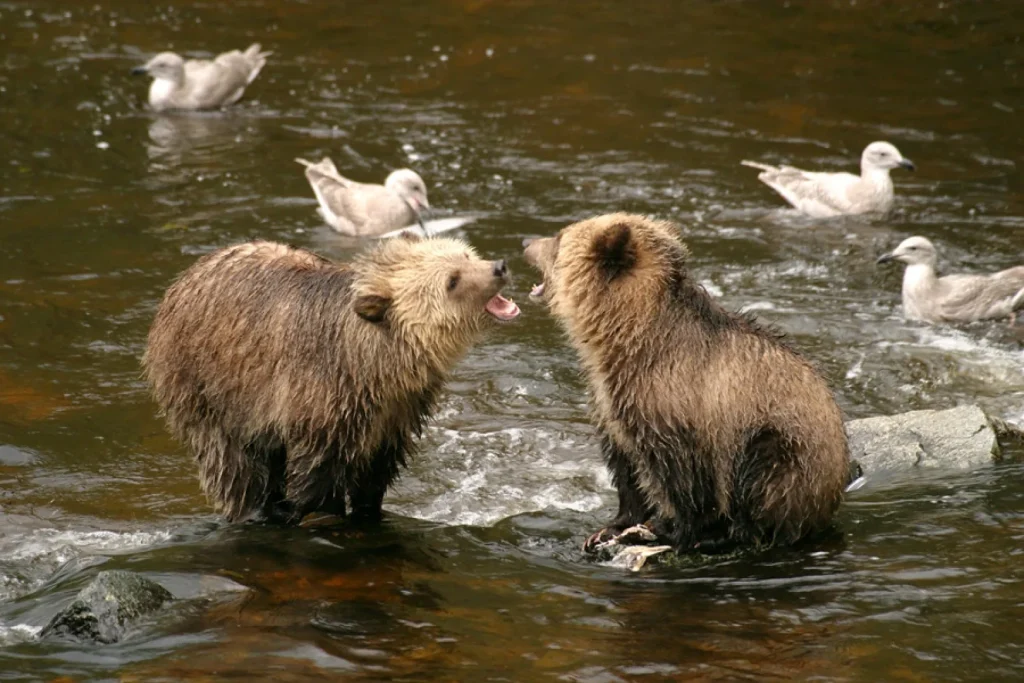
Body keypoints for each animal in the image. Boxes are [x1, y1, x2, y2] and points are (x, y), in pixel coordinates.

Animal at [143, 236, 520, 524]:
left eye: (466, 254)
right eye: (452, 280)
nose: (499, 267)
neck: (376, 365)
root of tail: (179, 283)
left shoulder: (397, 410)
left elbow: (376, 471)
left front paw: (369, 509)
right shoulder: (320, 397)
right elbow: (318, 474)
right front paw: (316, 512)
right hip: (206, 384)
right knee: (232, 463)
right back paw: (253, 510)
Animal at [523, 213, 850, 552]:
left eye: (559, 237)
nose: (525, 242)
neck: (627, 337)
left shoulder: (678, 402)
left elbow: (685, 478)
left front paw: (666, 528)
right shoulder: (613, 405)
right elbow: (628, 471)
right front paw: (609, 529)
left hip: (788, 449)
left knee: (762, 482)